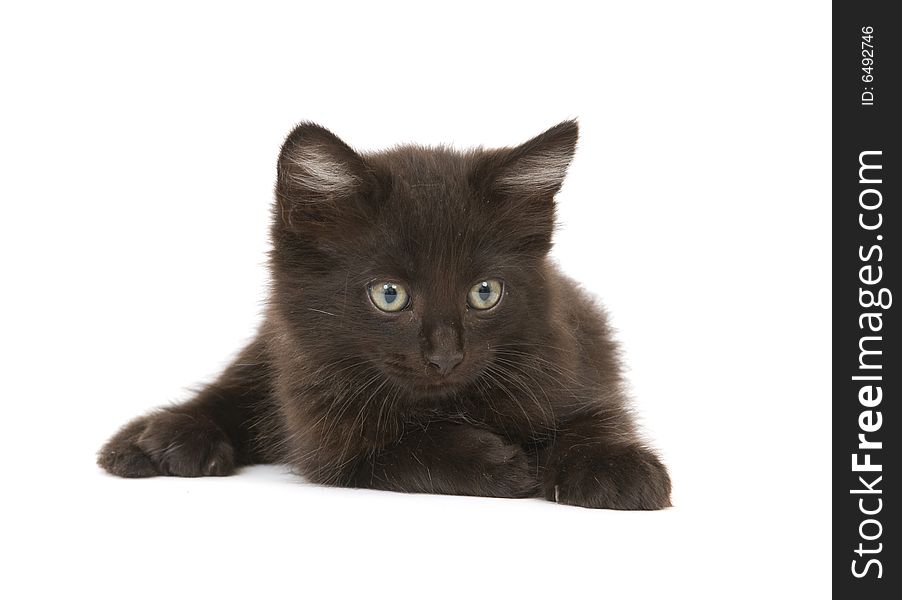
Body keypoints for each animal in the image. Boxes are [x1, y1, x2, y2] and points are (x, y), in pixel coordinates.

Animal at [100, 122, 680, 510]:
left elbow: (593, 417)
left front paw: (615, 466)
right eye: (389, 295)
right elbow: (401, 450)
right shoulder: (326, 429)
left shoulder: (572, 357)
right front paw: (499, 463)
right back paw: (157, 440)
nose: (445, 356)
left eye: (485, 292)